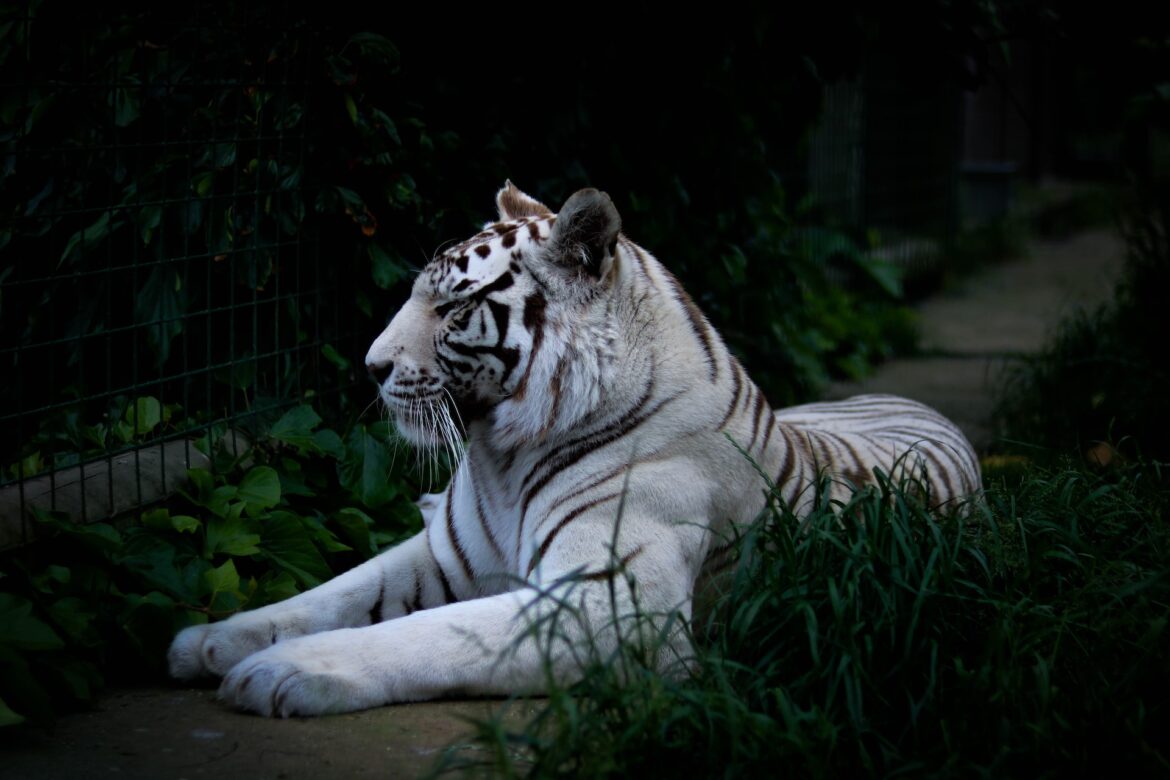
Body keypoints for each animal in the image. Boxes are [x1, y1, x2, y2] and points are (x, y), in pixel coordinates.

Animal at [169, 181, 982, 715]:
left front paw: (281, 671)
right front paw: (210, 640)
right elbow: (332, 592)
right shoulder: (446, 556)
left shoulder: (607, 605)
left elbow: (422, 634)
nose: (370, 367)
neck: (502, 455)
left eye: (453, 307)